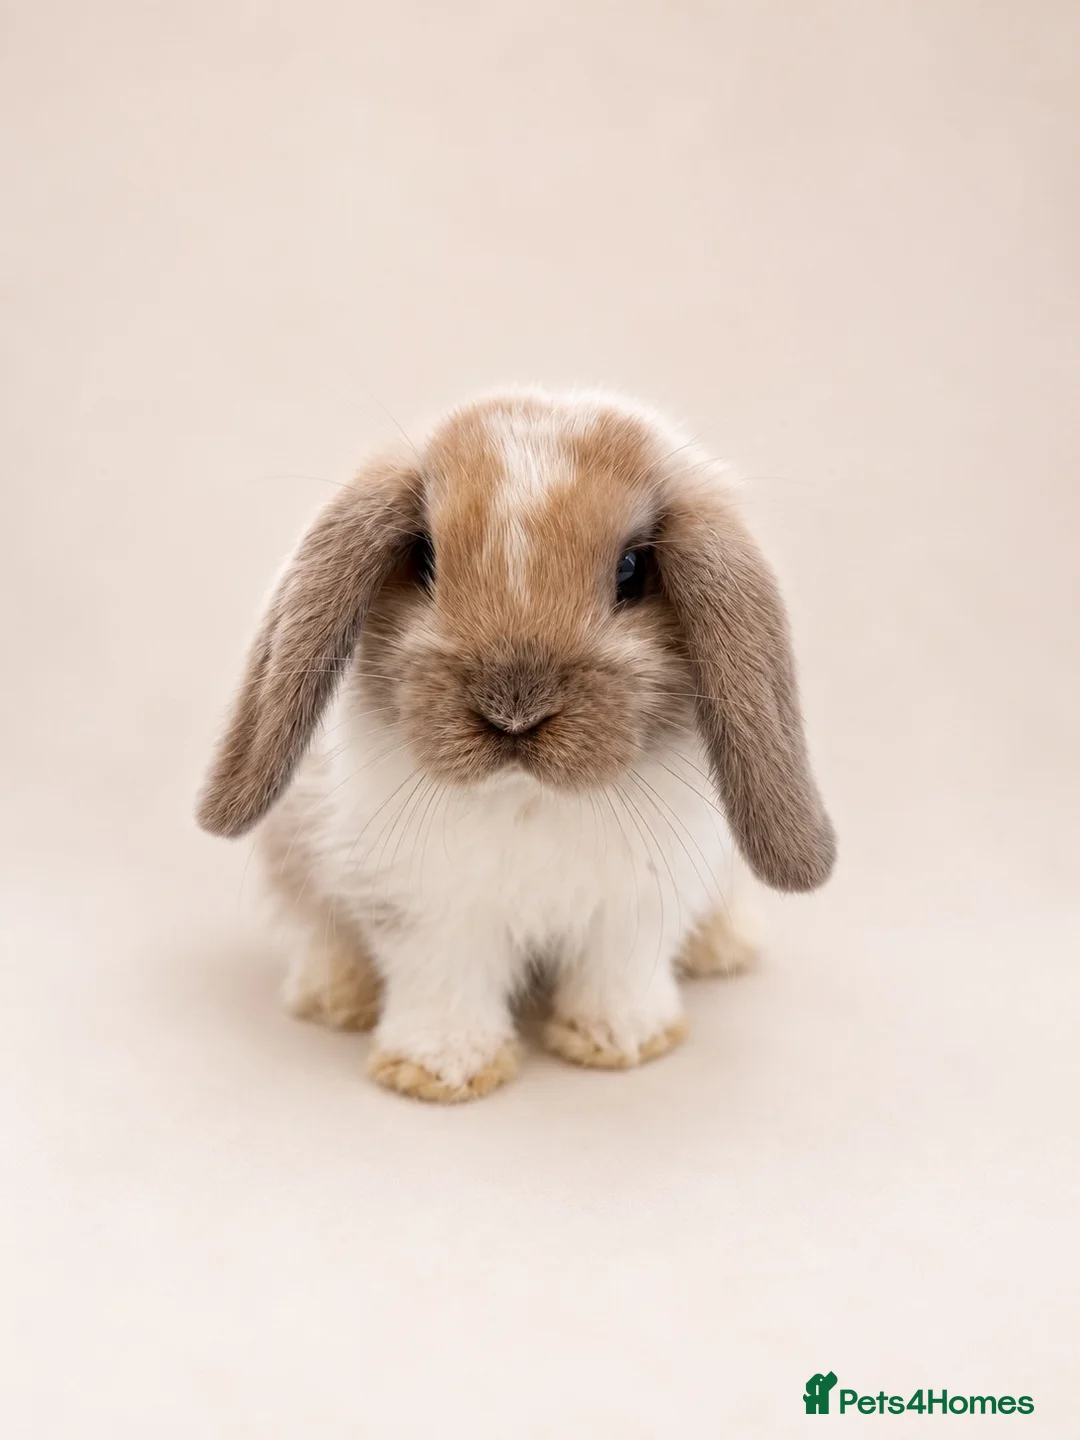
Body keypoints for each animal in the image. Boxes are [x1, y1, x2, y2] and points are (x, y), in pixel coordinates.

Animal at [196, 387, 835, 1102]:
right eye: (424, 557)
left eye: (632, 570)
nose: (513, 711)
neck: (526, 797)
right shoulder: (424, 909)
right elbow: (445, 981)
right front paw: (439, 1069)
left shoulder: (637, 906)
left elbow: (618, 973)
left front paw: (622, 1043)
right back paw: (334, 998)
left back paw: (726, 950)